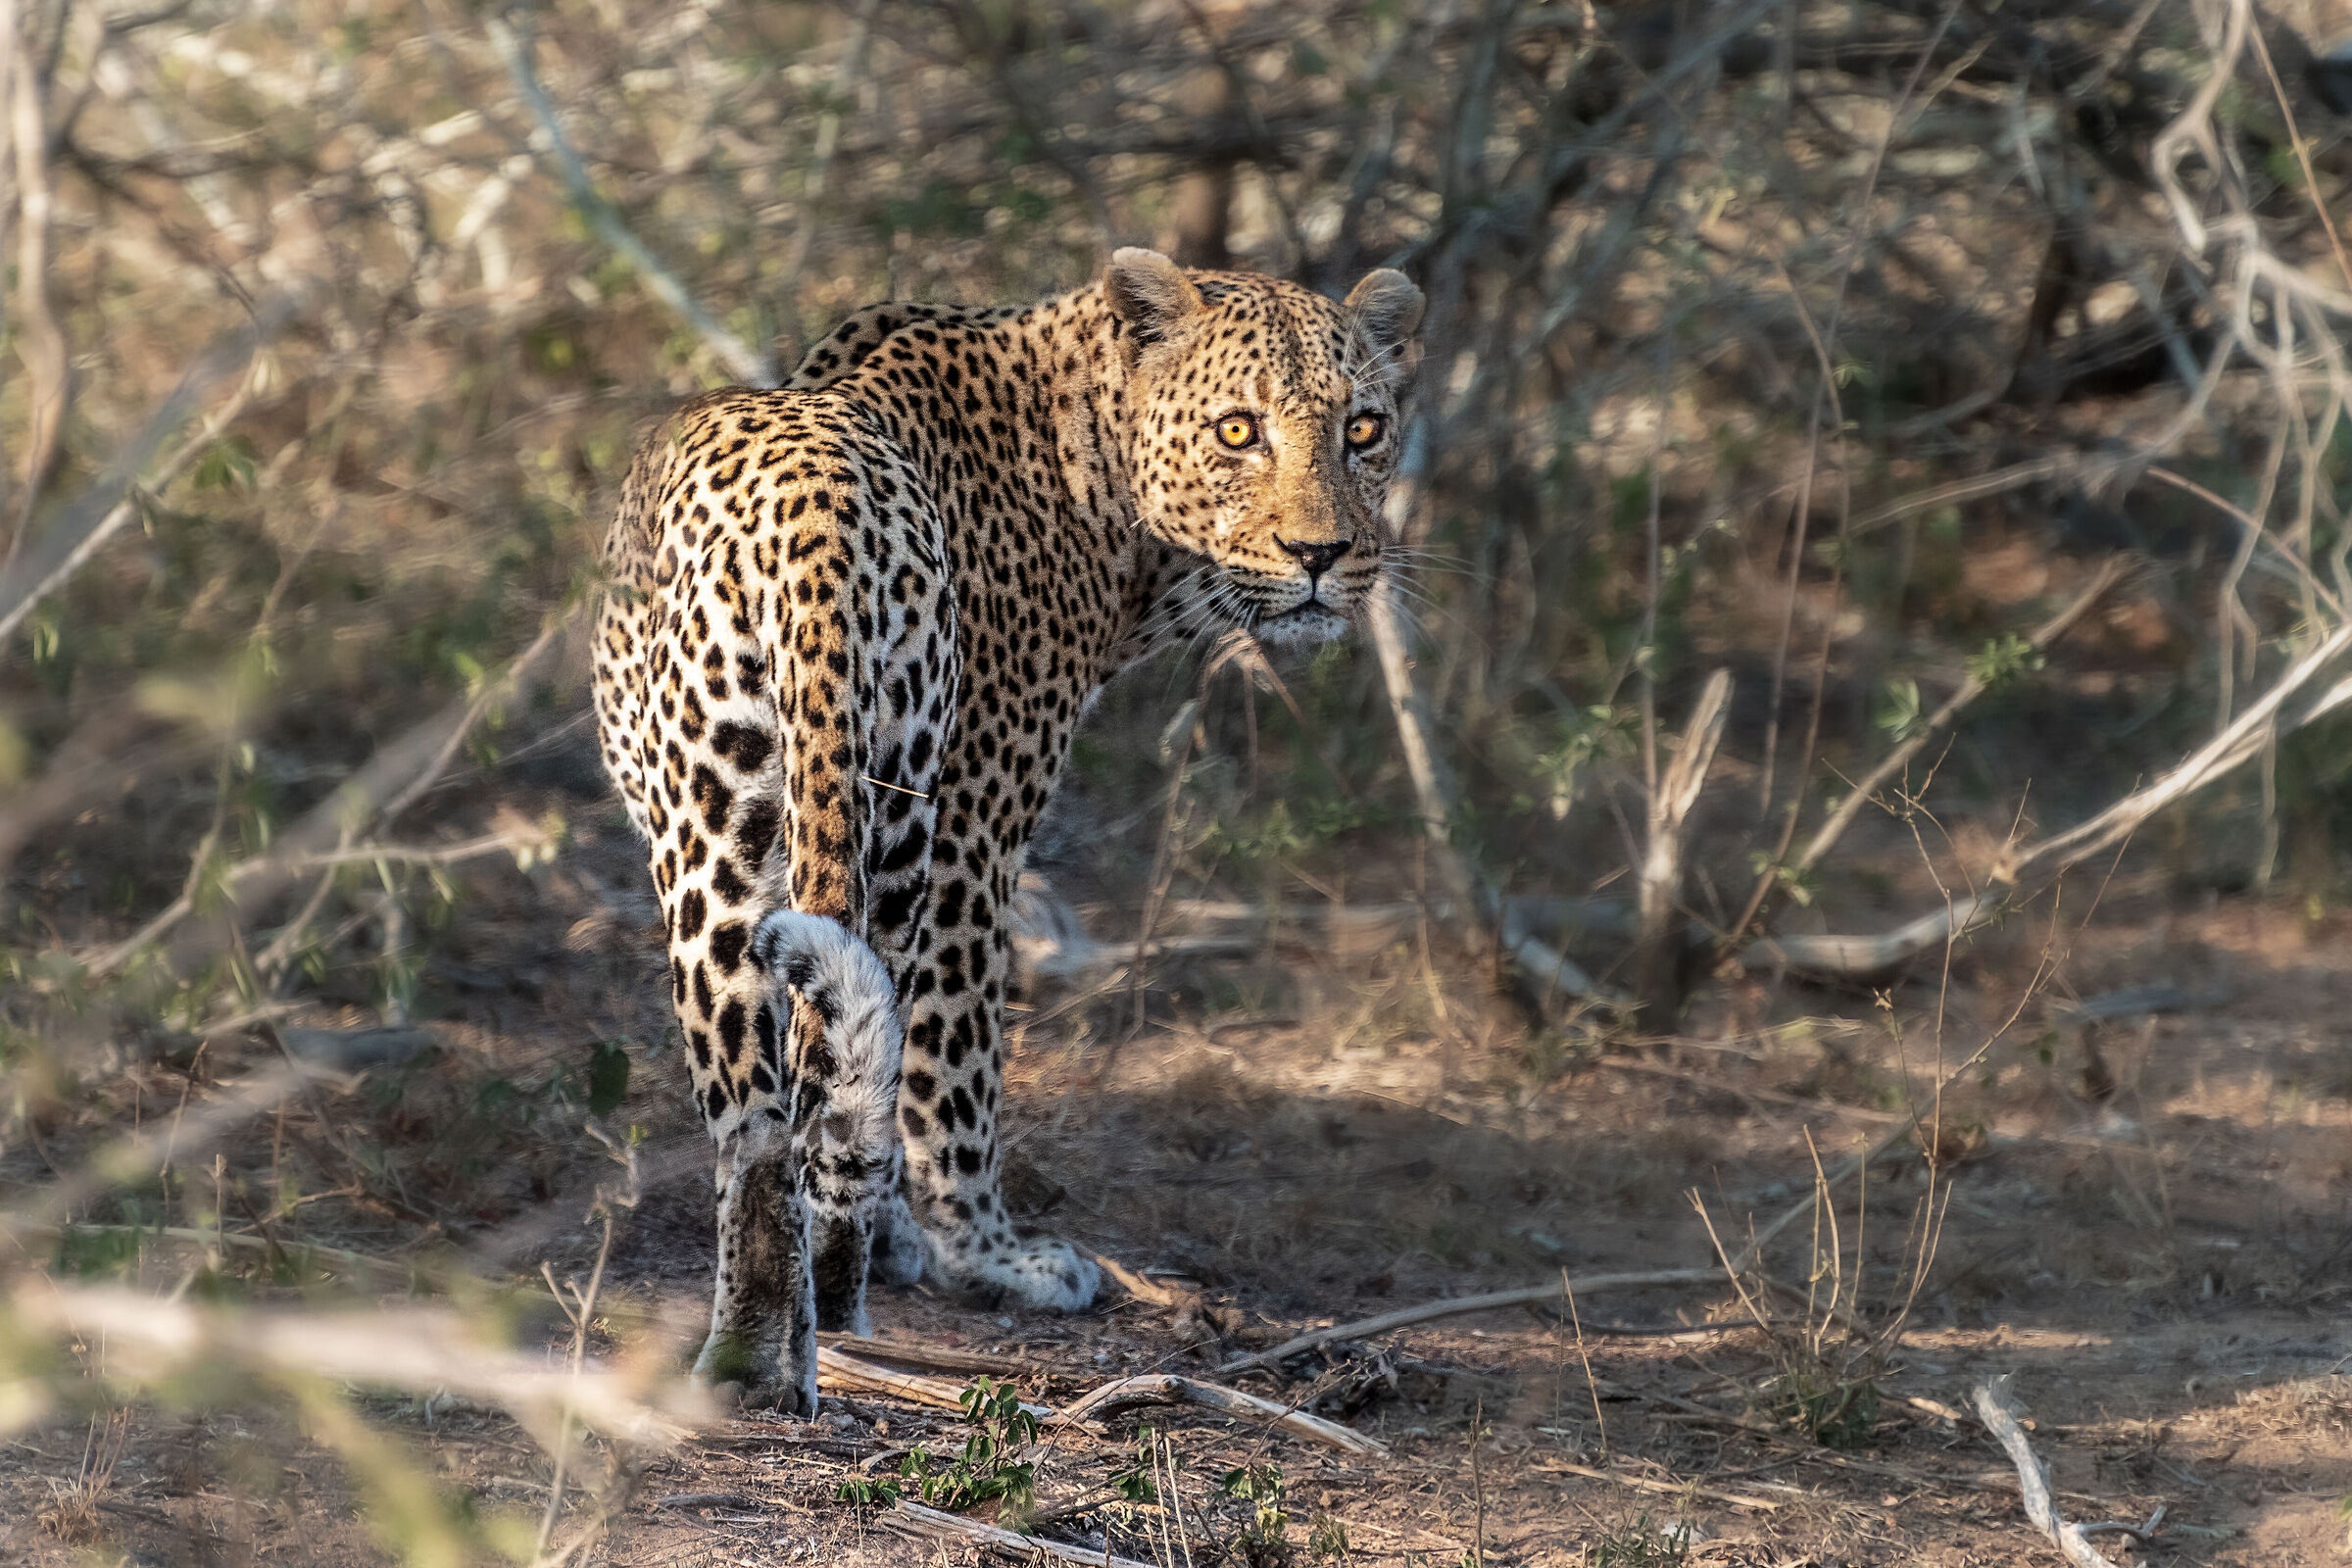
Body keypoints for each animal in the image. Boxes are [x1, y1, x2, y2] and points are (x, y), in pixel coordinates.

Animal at [591, 248, 1424, 1414]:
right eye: (1238, 431)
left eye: (1364, 427)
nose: (1322, 553)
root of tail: (812, 515)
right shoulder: (975, 831)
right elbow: (956, 1066)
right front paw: (986, 1257)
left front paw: (905, 1244)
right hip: (901, 824)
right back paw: (830, 1306)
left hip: (736, 837)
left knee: (760, 1118)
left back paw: (763, 1345)